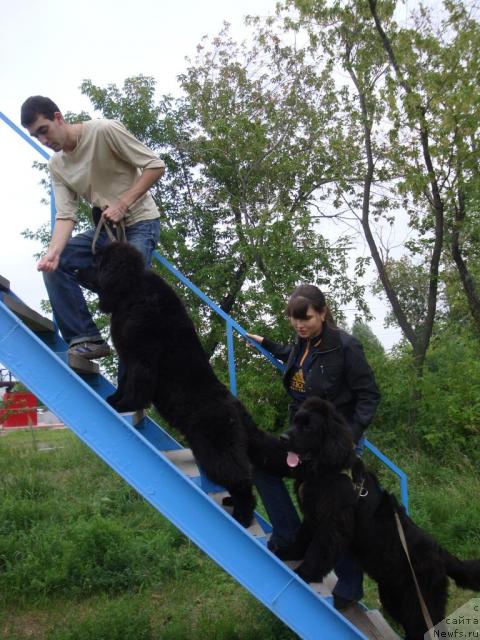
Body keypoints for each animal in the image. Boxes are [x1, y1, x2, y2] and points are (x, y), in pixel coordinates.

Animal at [95, 242, 286, 528]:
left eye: (97, 259)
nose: (74, 265)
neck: (133, 290)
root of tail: (240, 411)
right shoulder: (128, 356)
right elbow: (123, 382)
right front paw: (116, 400)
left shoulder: (141, 357)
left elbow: (135, 385)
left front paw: (123, 405)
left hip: (214, 450)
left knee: (241, 481)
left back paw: (241, 517)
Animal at [278, 398, 480, 636]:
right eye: (295, 421)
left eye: (308, 427)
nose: (282, 438)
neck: (329, 467)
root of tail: (440, 552)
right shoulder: (314, 515)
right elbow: (302, 538)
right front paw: (287, 552)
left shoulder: (333, 523)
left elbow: (317, 550)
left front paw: (304, 573)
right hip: (395, 597)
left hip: (420, 600)